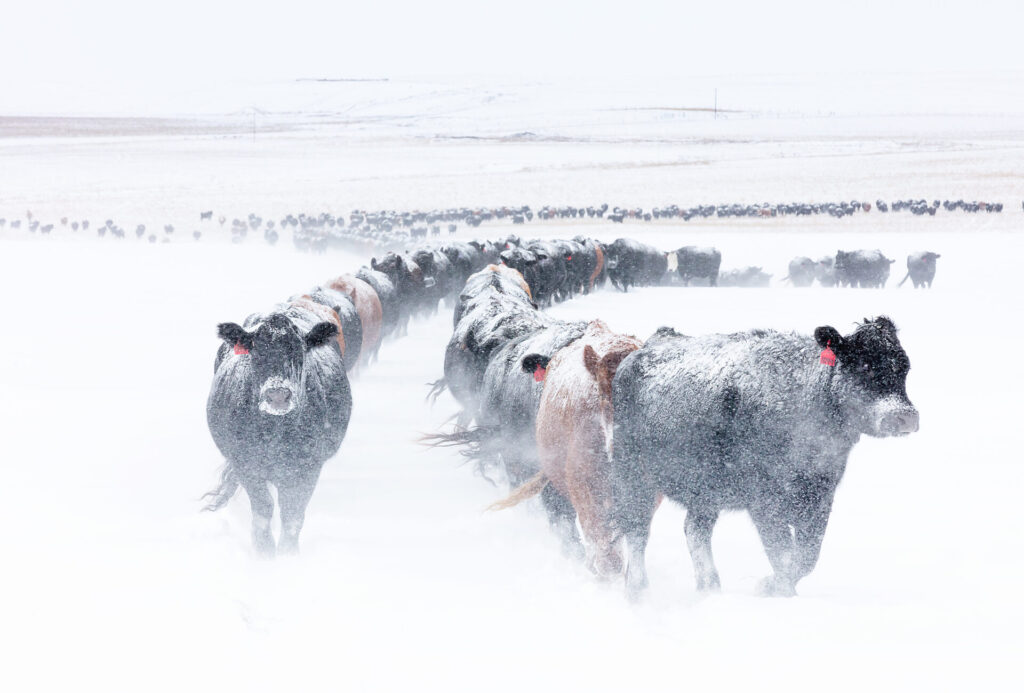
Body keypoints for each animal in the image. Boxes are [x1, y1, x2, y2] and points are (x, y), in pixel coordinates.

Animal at [201, 305, 354, 552]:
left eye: (299, 352)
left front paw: (288, 553)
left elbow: (292, 514)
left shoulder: (308, 467)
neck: (275, 432)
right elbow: (263, 510)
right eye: (256, 352)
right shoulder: (246, 463)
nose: (278, 395)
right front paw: (264, 551)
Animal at [614, 317, 921, 593]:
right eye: (864, 366)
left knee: (695, 530)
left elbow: (807, 556)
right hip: (632, 475)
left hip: (705, 492)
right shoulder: (764, 499)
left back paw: (709, 586)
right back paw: (638, 587)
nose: (904, 417)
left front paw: (770, 585)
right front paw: (776, 590)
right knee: (637, 529)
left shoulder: (819, 496)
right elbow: (783, 554)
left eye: (905, 367)